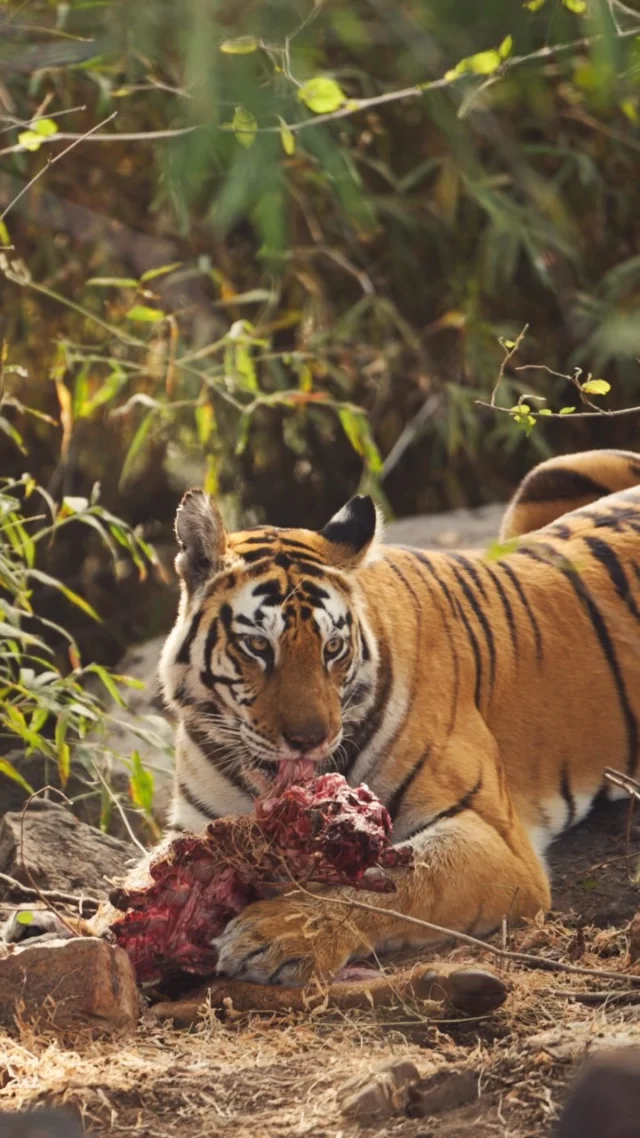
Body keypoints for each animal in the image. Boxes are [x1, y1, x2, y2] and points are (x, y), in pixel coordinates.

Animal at [157, 447, 640, 990]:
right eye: (258, 646)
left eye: (332, 648)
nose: (310, 739)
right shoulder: (195, 826)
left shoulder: (493, 838)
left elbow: (397, 881)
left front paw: (280, 933)